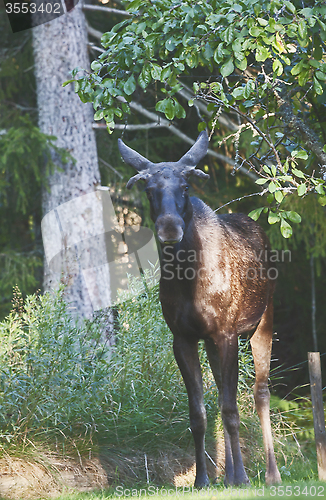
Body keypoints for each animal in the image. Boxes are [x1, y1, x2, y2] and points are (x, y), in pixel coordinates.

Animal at [118, 131, 282, 486]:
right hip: (212, 342)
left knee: (260, 392)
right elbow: (199, 413)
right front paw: (203, 480)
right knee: (223, 392)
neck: (188, 281)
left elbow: (231, 410)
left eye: (185, 187)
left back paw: (270, 474)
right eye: (149, 189)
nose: (169, 228)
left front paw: (241, 478)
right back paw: (231, 472)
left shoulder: (226, 332)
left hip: (264, 320)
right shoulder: (183, 338)